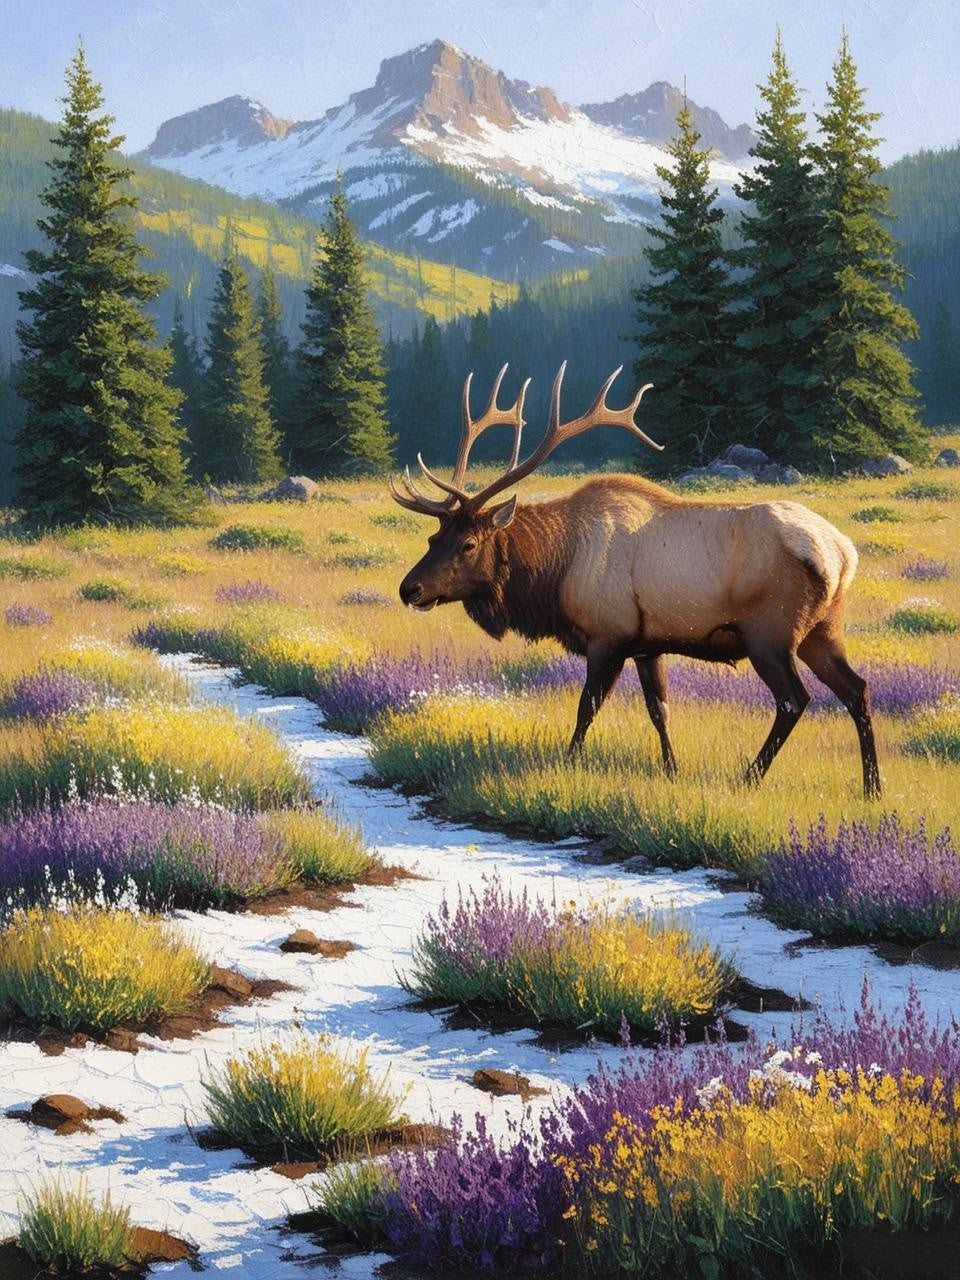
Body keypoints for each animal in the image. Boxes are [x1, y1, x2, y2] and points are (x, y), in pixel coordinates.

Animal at [391, 363, 881, 799]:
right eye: (434, 537)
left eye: (469, 543)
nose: (409, 588)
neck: (555, 573)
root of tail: (841, 554)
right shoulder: (648, 644)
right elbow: (659, 709)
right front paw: (671, 770)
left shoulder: (608, 635)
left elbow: (586, 707)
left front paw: (569, 763)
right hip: (823, 630)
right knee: (857, 689)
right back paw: (872, 788)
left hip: (770, 632)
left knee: (795, 700)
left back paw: (750, 776)